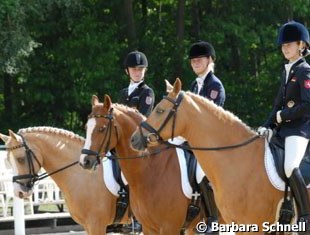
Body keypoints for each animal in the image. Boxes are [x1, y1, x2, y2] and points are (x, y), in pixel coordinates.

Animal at [80, 95, 208, 235]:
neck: (151, 168)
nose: (85, 161)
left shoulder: (169, 227)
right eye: (86, 127)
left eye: (102, 129)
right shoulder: (148, 227)